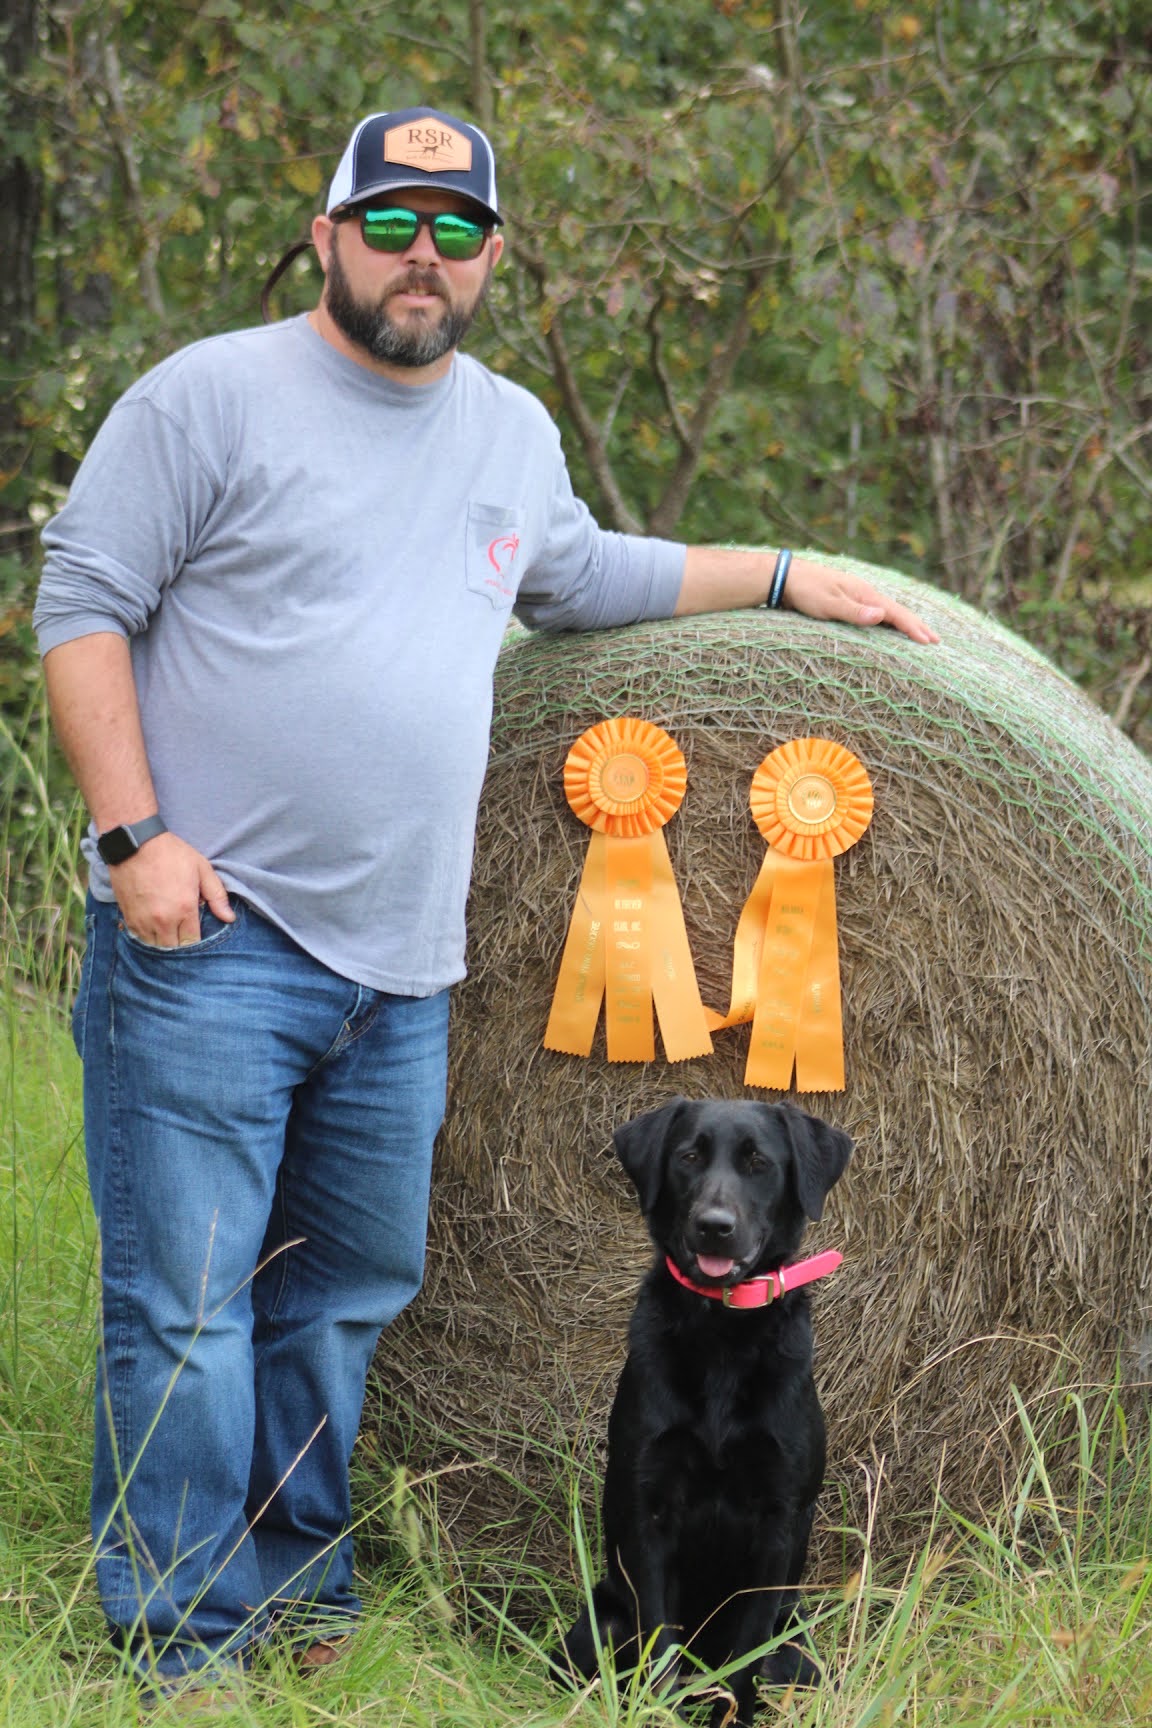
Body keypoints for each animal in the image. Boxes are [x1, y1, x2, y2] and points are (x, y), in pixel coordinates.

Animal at [563, 1099, 853, 1721]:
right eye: (688, 1157)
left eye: (759, 1163)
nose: (714, 1226)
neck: (722, 1331)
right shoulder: (649, 1515)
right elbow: (660, 1649)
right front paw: (660, 1714)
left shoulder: (778, 1520)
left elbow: (744, 1659)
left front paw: (730, 1714)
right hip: (598, 1625)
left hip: (798, 1648)